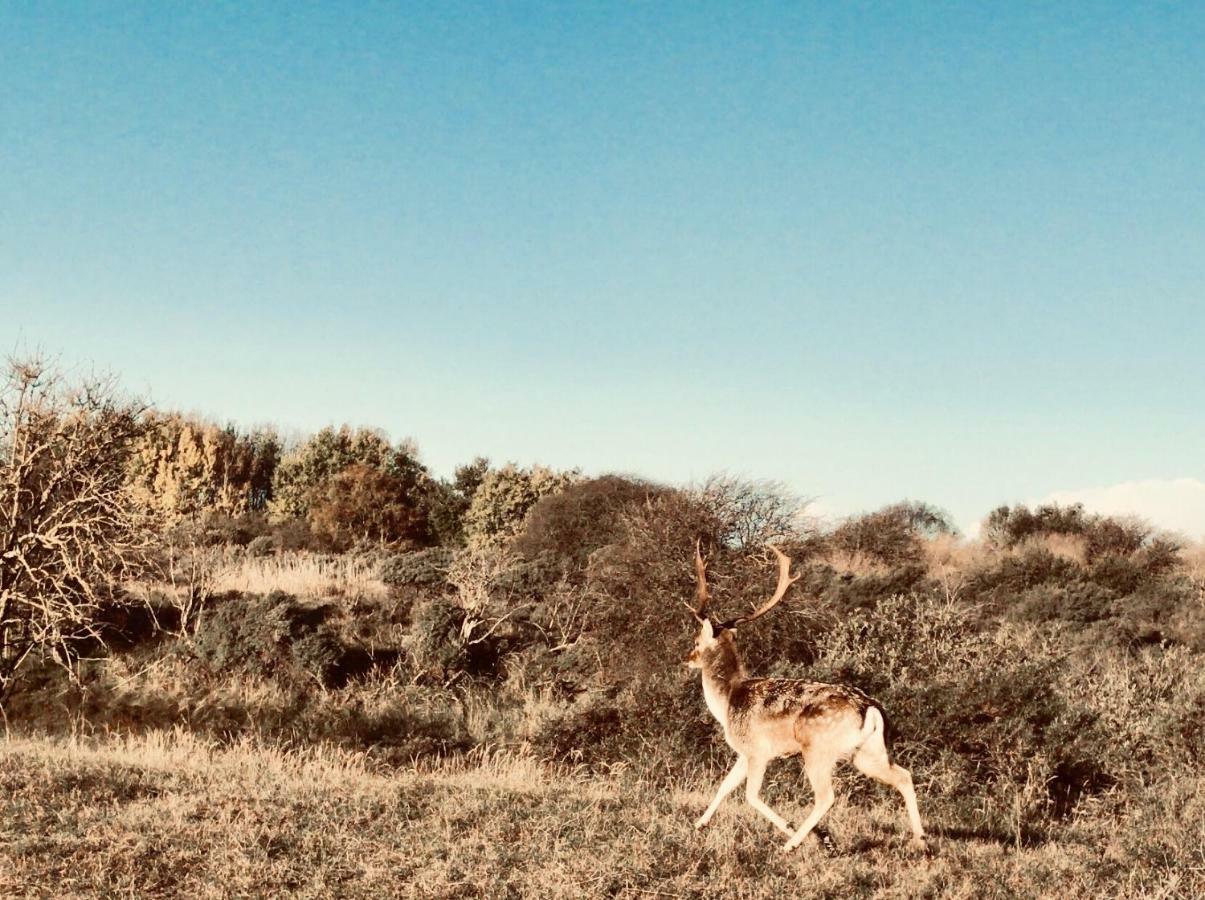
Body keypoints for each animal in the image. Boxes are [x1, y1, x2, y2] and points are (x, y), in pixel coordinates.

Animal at [684, 542, 925, 853]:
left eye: (696, 641)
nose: (688, 658)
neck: (727, 703)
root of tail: (869, 708)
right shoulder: (743, 751)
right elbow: (725, 785)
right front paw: (698, 824)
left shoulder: (758, 750)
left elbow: (751, 796)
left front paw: (800, 832)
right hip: (868, 753)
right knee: (903, 775)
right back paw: (921, 840)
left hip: (818, 749)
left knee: (826, 796)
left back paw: (797, 843)